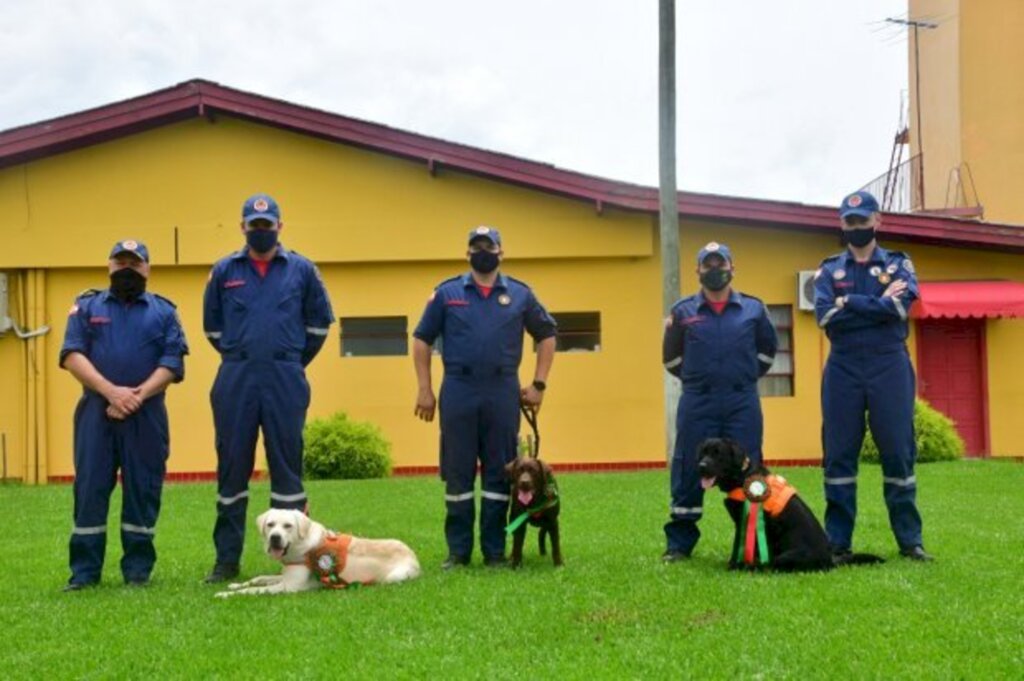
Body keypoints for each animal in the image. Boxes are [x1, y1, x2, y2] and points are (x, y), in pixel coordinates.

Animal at [214, 503, 421, 593]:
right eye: (270, 525)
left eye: (288, 526)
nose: (275, 538)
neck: (300, 547)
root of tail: (413, 554)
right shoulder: (285, 575)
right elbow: (259, 579)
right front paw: (235, 584)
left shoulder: (289, 586)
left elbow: (254, 590)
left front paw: (226, 593)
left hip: (394, 577)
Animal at [700, 438, 884, 569]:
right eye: (703, 453)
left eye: (718, 454)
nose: (701, 465)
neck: (743, 477)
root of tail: (830, 560)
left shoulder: (744, 522)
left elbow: (741, 546)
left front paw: (735, 565)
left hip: (787, 556)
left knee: (771, 566)